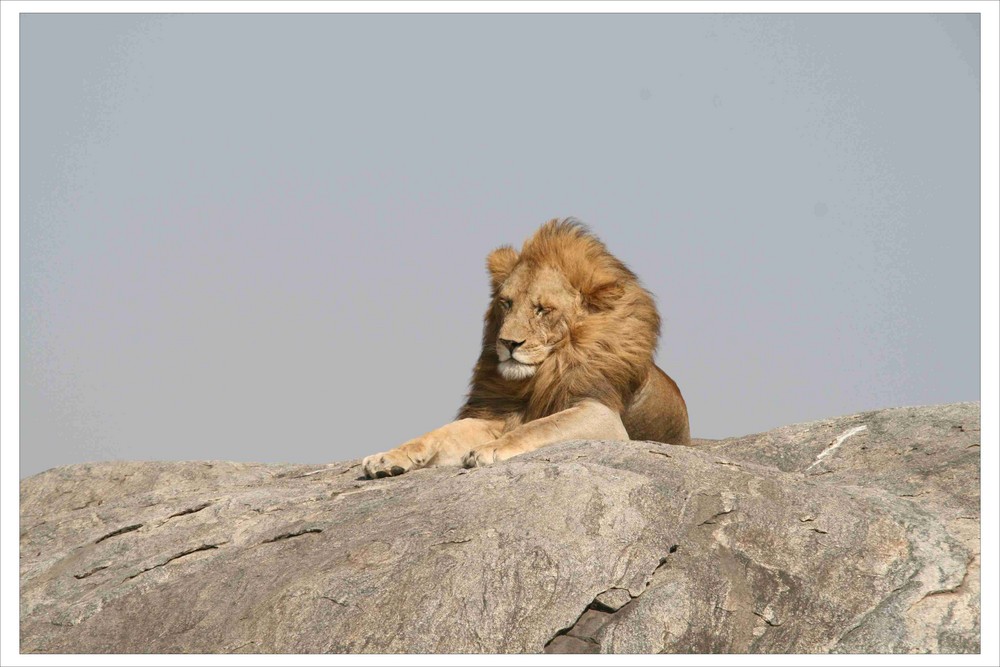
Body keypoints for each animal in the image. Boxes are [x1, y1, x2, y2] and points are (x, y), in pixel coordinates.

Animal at [364, 220, 692, 480]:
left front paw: (491, 448)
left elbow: (541, 426)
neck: (542, 373)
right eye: (506, 303)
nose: (508, 343)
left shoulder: (602, 415)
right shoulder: (496, 413)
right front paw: (387, 457)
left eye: (542, 309)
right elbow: (439, 433)